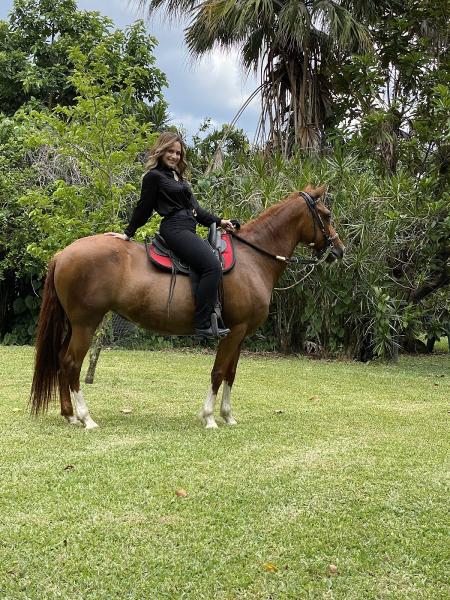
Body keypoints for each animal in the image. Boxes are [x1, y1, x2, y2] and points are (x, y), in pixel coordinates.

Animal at [29, 185, 344, 428]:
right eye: (326, 215)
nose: (339, 250)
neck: (252, 258)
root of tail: (63, 253)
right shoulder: (233, 332)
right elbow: (218, 371)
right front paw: (210, 417)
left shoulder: (240, 333)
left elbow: (231, 373)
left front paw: (228, 416)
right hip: (86, 323)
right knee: (71, 363)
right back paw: (86, 418)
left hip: (75, 324)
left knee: (61, 360)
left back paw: (70, 415)